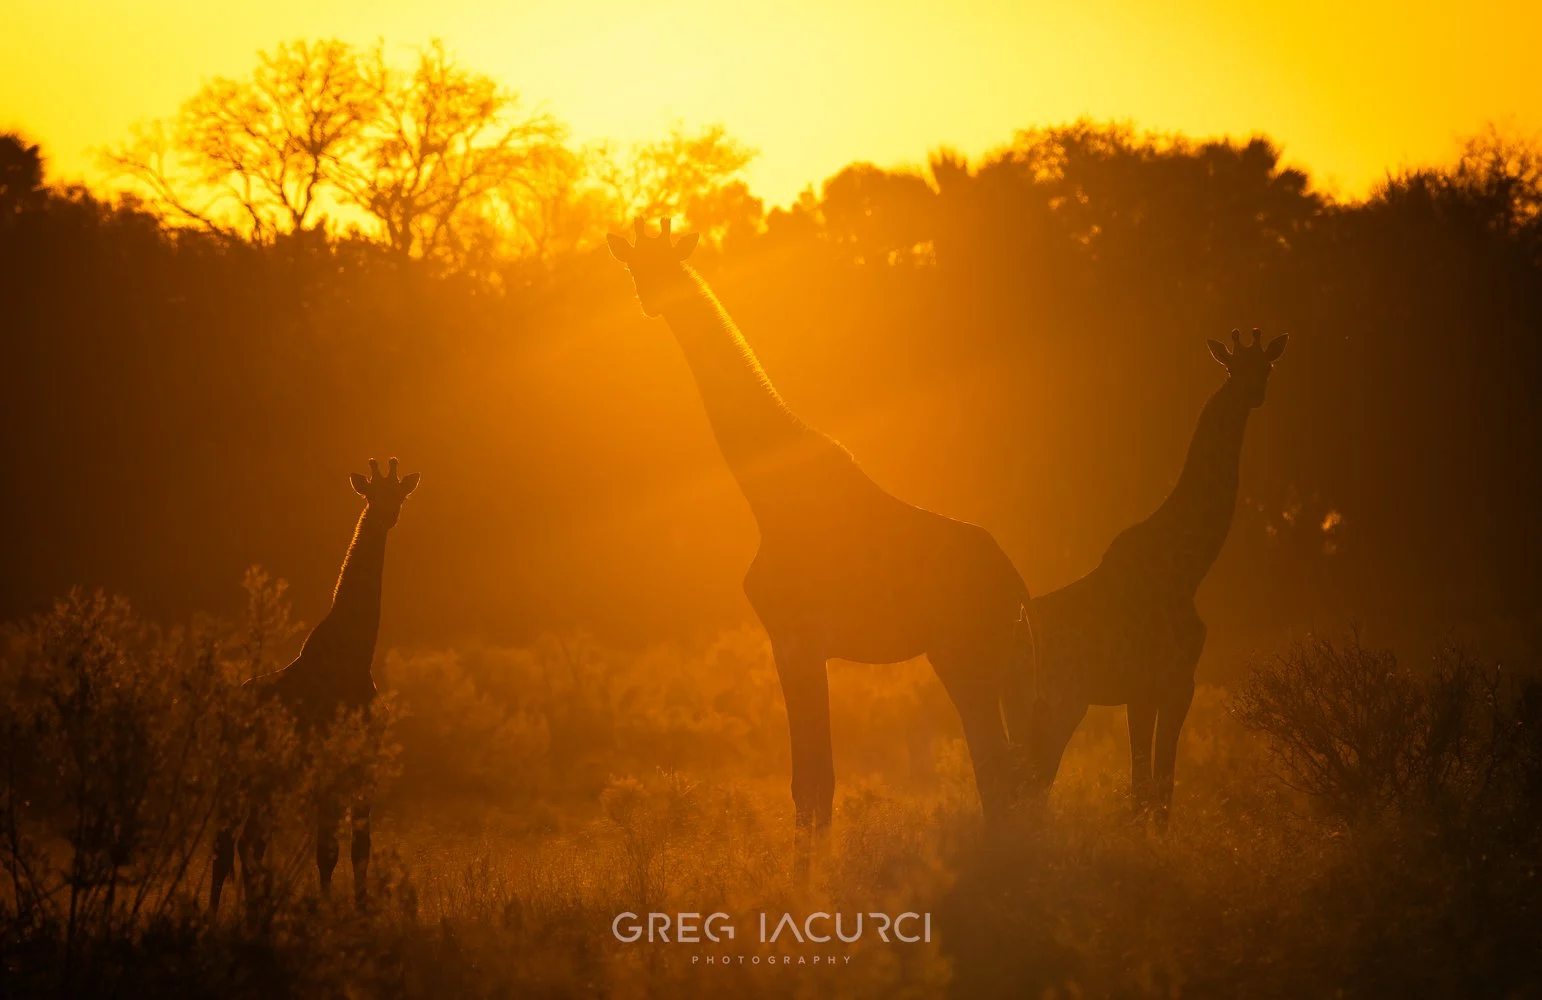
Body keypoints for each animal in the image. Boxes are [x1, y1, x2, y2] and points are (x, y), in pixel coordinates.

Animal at [210, 457, 419, 916]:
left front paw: (360, 912)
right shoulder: (328, 768)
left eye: (400, 494)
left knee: (249, 842)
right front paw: (327, 914)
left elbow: (359, 848)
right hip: (237, 775)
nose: (386, 516)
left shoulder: (363, 769)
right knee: (226, 844)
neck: (355, 658)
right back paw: (217, 918)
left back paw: (254, 911)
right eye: (371, 495)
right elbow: (327, 852)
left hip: (266, 781)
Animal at [607, 219, 1035, 851]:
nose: (649, 301)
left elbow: (811, 784)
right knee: (1011, 769)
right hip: (991, 658)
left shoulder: (794, 640)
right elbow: (813, 782)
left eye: (668, 264)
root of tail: (1017, 585)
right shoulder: (803, 645)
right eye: (635, 267)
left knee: (998, 765)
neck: (766, 496)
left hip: (966, 652)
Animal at [1026, 329, 1287, 824]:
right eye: (1231, 368)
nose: (1255, 394)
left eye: (1267, 367)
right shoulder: (1164, 684)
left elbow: (1151, 788)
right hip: (1062, 698)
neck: (1188, 571)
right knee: (1031, 781)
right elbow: (1152, 788)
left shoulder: (1157, 688)